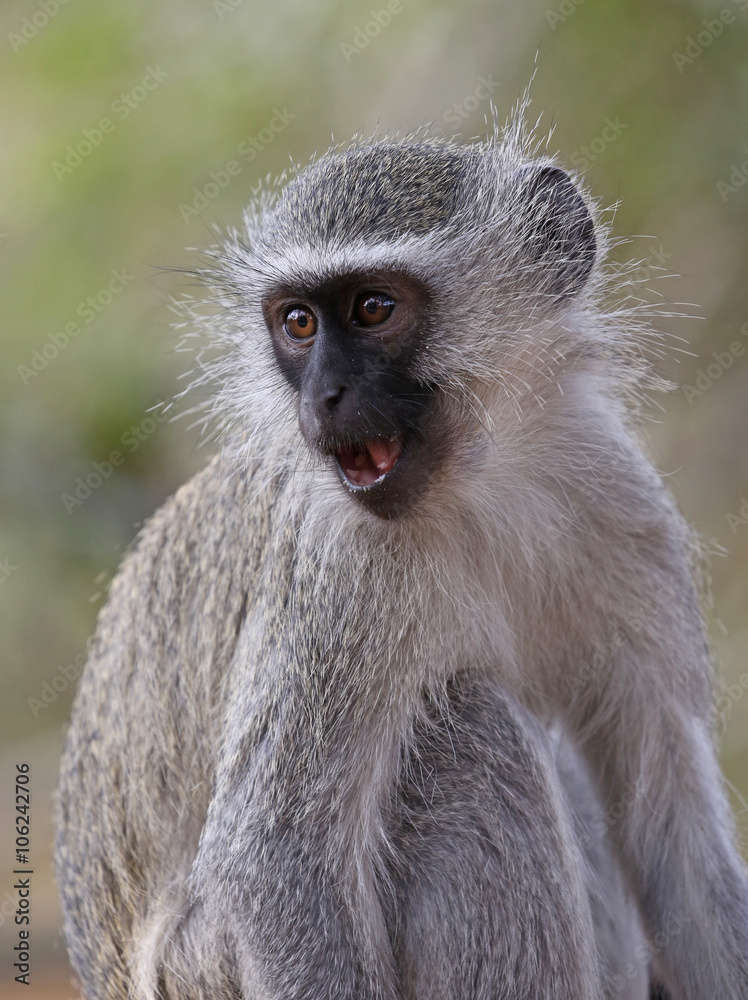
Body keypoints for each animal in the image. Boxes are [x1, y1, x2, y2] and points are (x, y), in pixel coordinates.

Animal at [55, 108, 748, 1000]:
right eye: (299, 323)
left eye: (374, 308)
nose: (324, 398)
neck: (478, 484)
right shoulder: (337, 574)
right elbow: (279, 858)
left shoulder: (625, 507)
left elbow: (674, 832)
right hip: (204, 970)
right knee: (467, 725)